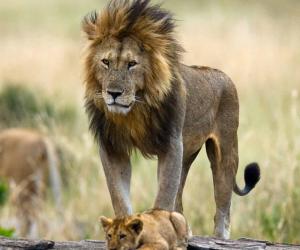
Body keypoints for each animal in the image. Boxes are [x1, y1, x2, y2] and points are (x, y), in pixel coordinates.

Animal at [82, 0, 260, 238]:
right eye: (106, 62)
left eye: (132, 64)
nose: (113, 93)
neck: (136, 109)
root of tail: (224, 75)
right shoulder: (113, 147)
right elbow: (119, 196)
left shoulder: (171, 145)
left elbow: (164, 195)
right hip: (186, 156)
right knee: (180, 199)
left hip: (225, 152)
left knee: (223, 208)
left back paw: (219, 236)